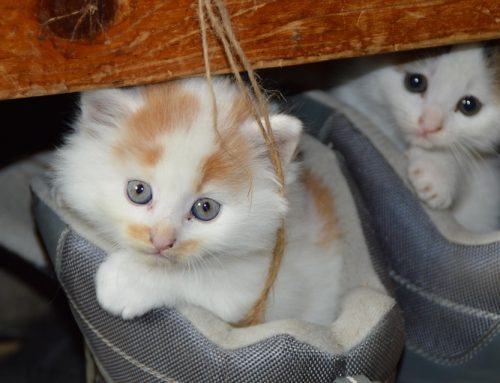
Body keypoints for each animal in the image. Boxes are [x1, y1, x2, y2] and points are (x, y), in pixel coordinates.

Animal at [53, 76, 344, 326]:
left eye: (206, 209)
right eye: (138, 191)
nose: (161, 241)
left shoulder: (274, 287)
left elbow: (205, 277)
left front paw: (126, 281)